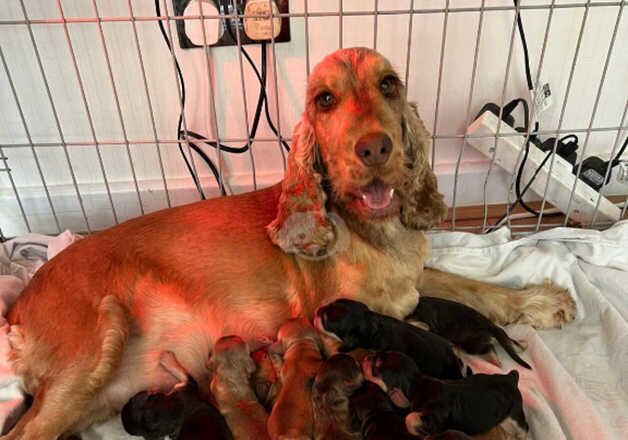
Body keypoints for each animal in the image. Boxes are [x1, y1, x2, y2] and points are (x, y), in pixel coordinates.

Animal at [364, 350, 528, 440]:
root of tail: (511, 378)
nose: (366, 357)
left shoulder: (433, 415)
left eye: (376, 368)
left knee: (523, 427)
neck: (417, 383)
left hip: (515, 412)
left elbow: (409, 418)